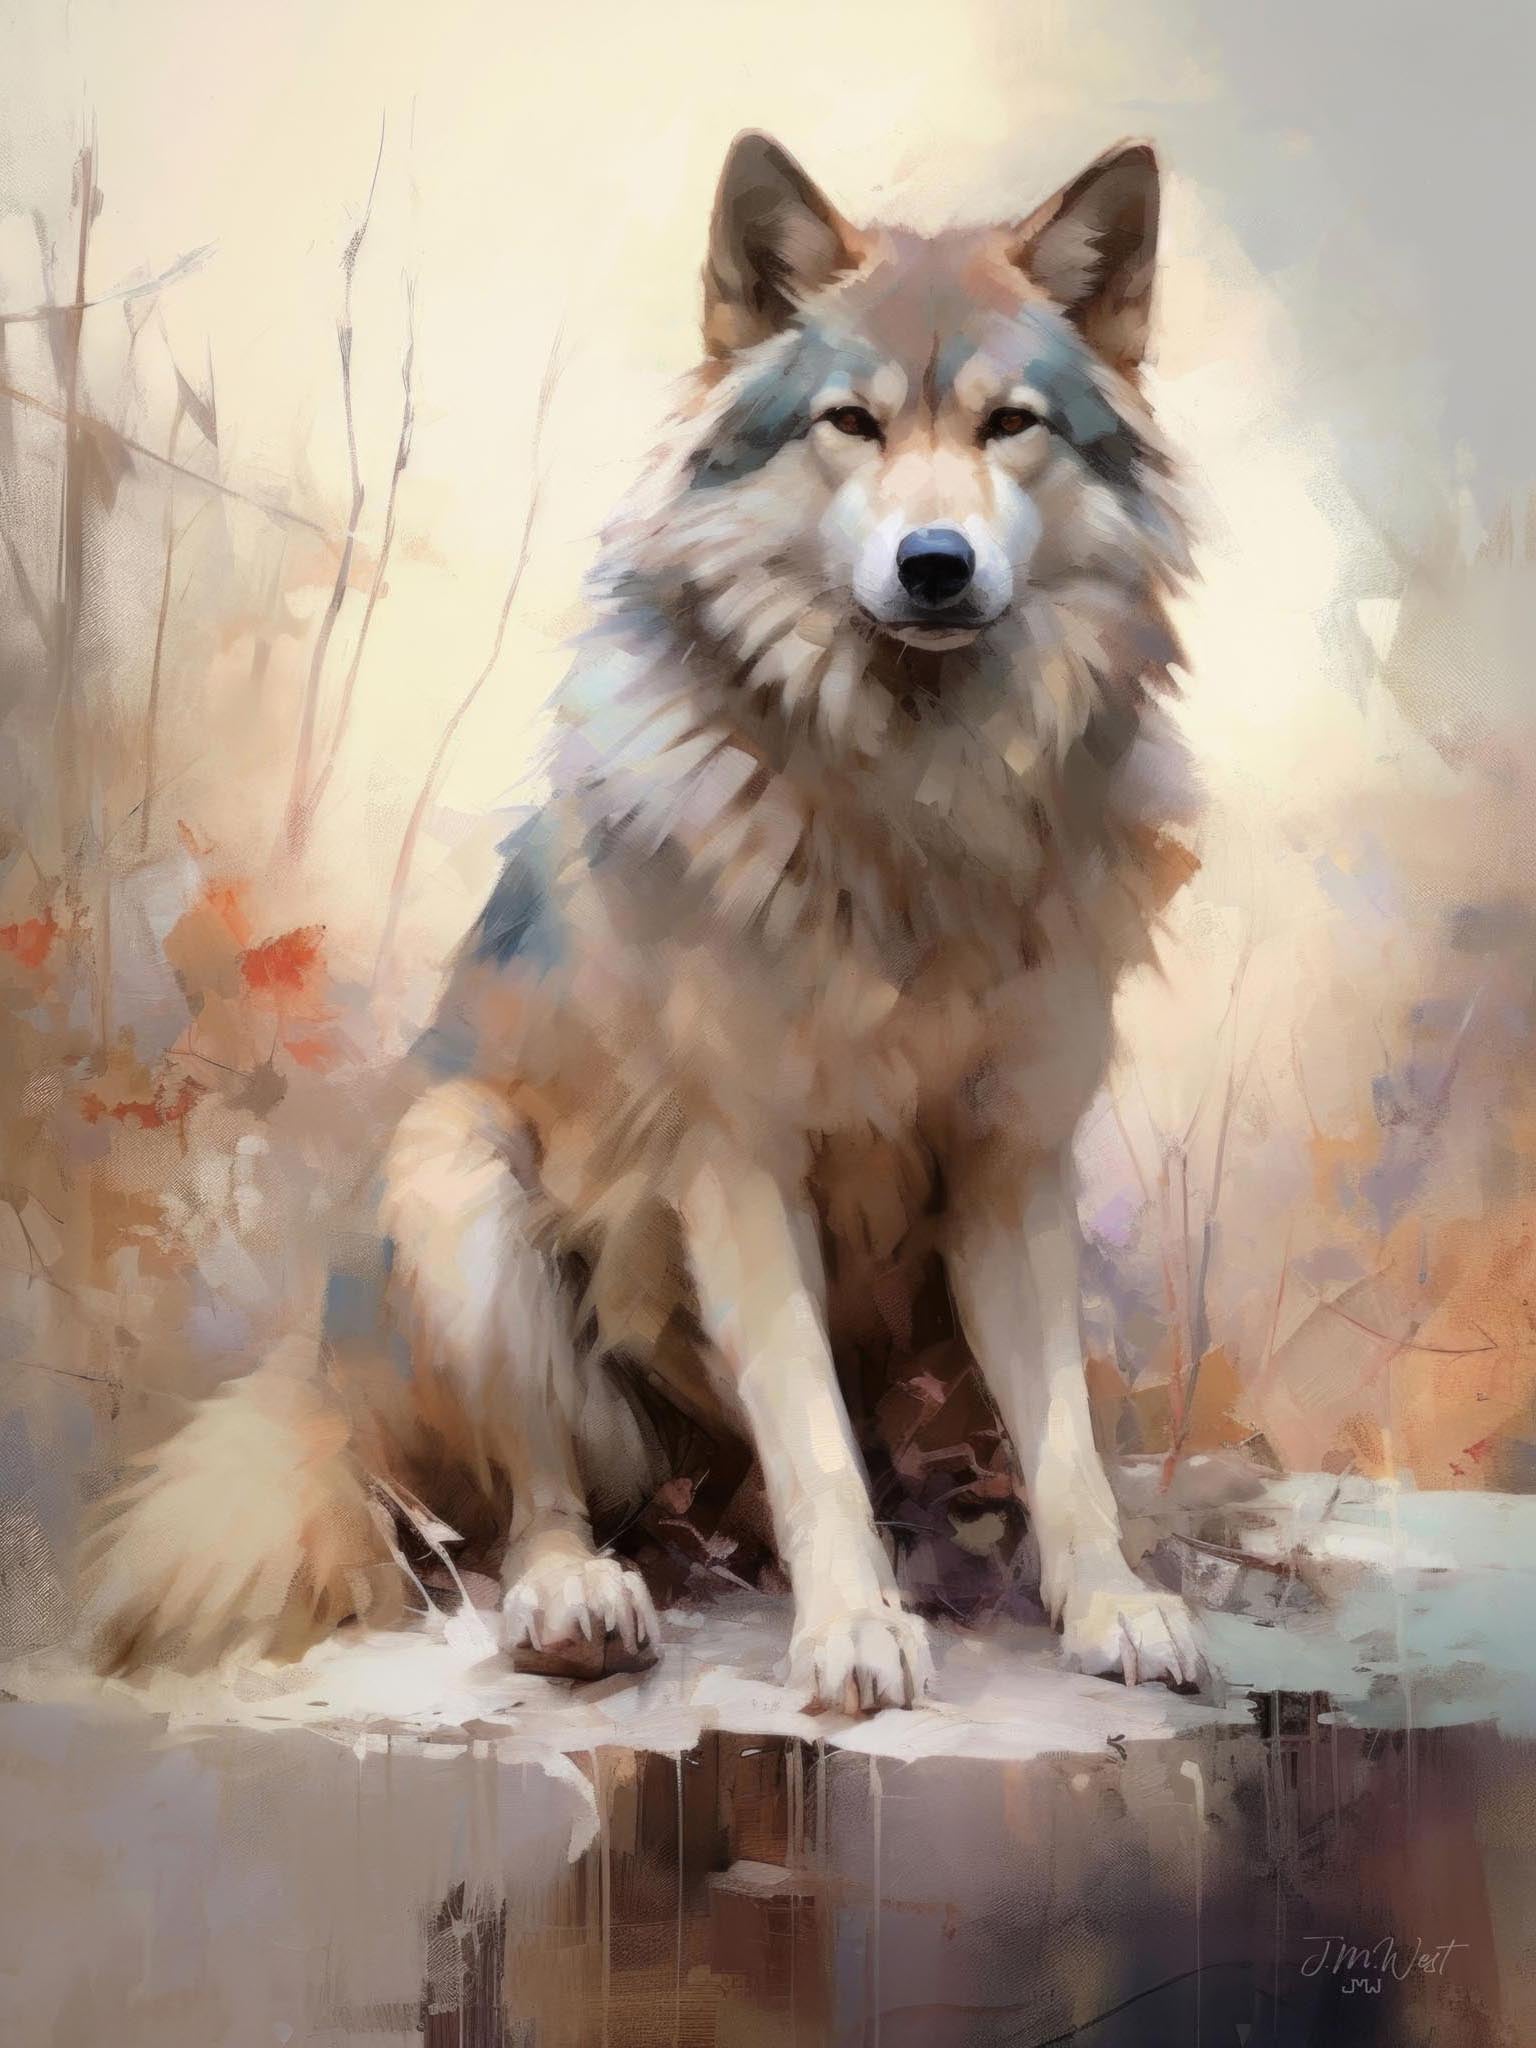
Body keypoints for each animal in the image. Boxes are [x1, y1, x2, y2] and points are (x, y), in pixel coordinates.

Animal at [83, 132, 1205, 1712]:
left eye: (1010, 425)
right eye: (851, 423)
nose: (934, 563)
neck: (910, 804)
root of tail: (334, 1387)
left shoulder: (1013, 1163)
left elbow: (1067, 1443)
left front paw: (1111, 1603)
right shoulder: (737, 1164)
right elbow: (811, 1435)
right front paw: (853, 1630)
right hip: (459, 1175)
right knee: (532, 1506)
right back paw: (579, 1601)